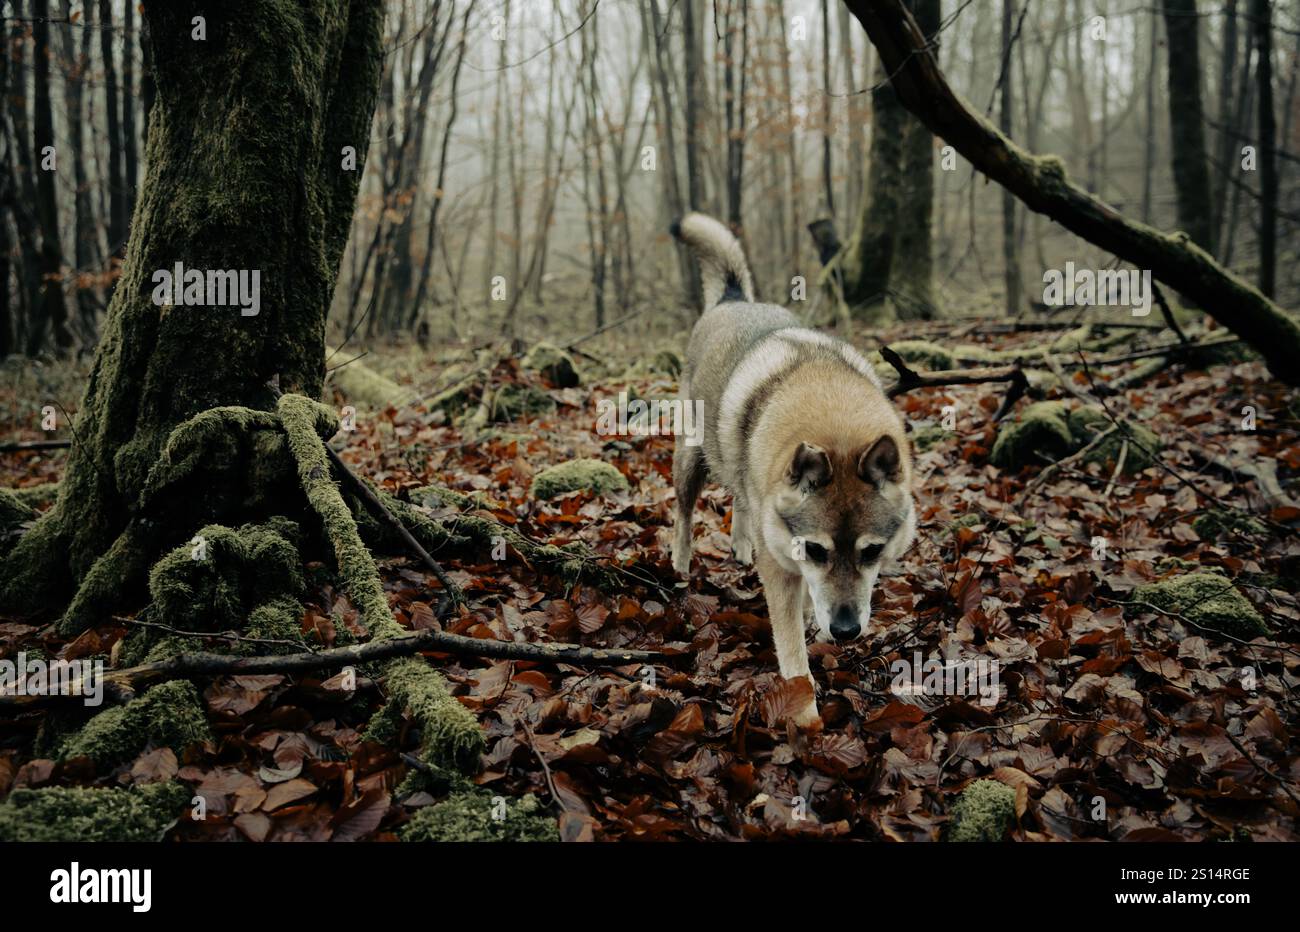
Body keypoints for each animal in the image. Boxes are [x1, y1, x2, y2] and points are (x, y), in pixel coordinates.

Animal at [670, 213, 915, 727]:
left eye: (872, 552)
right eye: (817, 550)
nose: (845, 630)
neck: (831, 412)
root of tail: (732, 299)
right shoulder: (783, 571)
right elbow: (793, 652)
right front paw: (805, 716)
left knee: (741, 502)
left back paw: (742, 547)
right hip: (691, 458)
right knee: (682, 515)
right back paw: (679, 566)